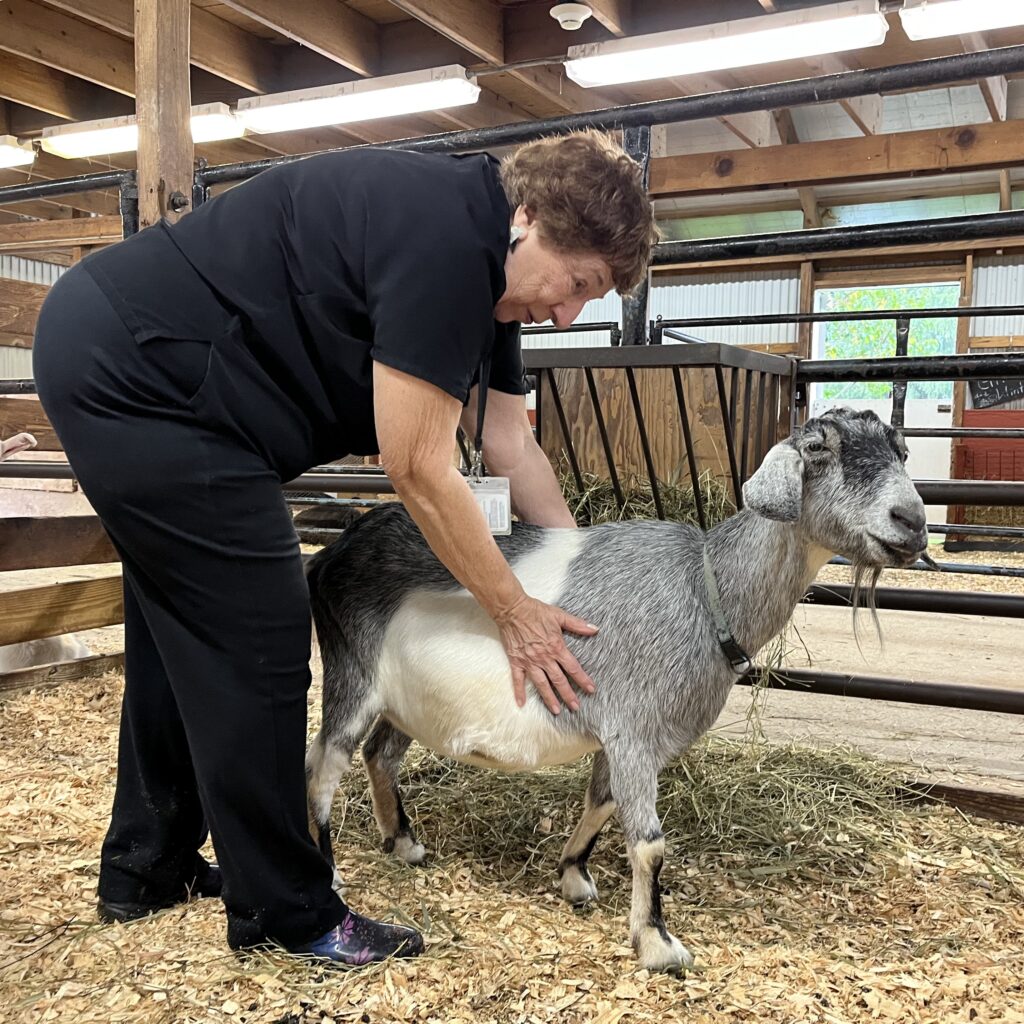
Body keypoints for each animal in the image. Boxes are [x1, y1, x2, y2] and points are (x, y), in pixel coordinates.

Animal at [303, 405, 929, 966]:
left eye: (901, 452)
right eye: (820, 449)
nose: (912, 520)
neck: (705, 591)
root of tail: (338, 548)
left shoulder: (623, 736)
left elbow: (600, 803)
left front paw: (572, 874)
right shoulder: (633, 733)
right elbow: (649, 843)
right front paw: (656, 942)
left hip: (406, 702)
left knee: (380, 753)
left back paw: (402, 841)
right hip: (352, 674)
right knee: (323, 765)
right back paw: (328, 873)